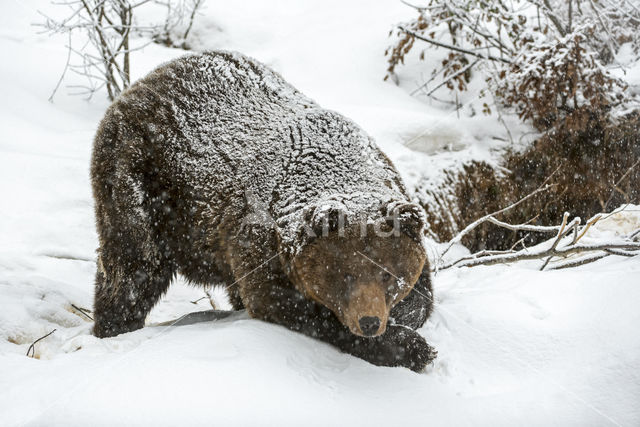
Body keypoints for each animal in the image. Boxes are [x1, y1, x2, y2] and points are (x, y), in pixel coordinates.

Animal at [90, 50, 438, 372]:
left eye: (388, 273)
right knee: (134, 266)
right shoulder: (259, 239)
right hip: (139, 179)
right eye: (344, 274)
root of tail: (139, 83)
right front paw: (412, 348)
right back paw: (114, 326)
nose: (368, 321)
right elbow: (285, 305)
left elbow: (421, 298)